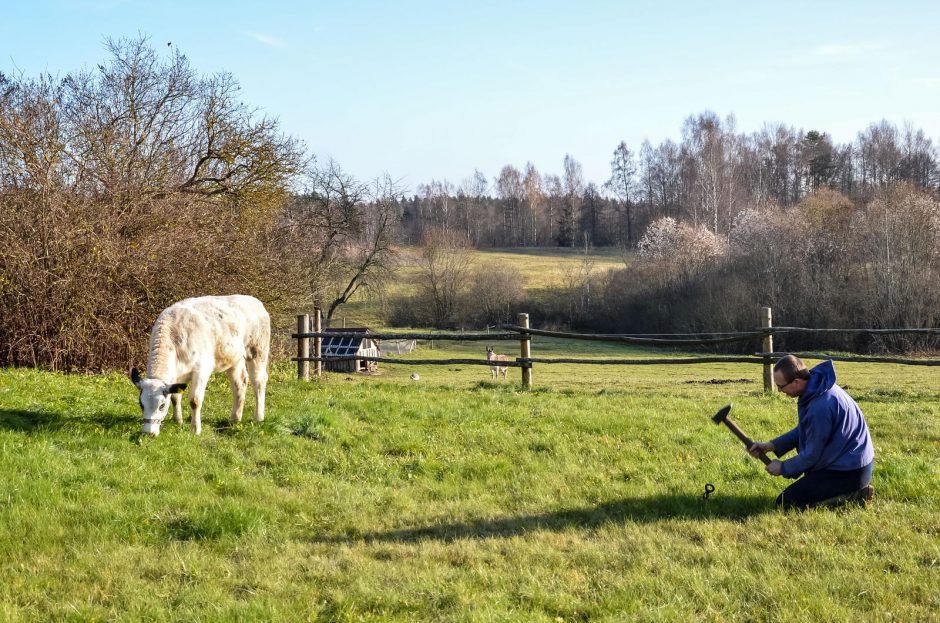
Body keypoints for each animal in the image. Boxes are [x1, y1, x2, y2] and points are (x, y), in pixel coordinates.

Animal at [129, 296, 268, 434]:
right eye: (141, 404)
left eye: (162, 405)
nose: (148, 432)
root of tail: (253, 300)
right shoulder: (177, 376)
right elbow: (175, 397)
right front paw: (178, 421)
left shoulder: (202, 370)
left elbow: (194, 400)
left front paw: (195, 429)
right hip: (234, 358)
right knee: (240, 383)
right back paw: (235, 418)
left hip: (257, 350)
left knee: (259, 381)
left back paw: (258, 417)